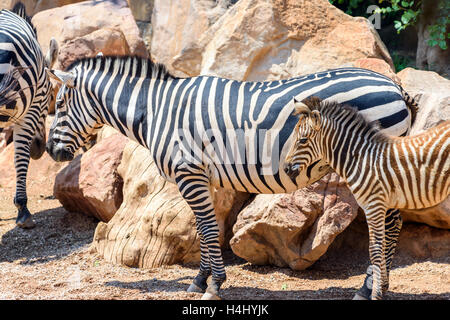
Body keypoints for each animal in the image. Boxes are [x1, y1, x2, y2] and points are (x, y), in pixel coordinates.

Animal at [46, 55, 418, 300]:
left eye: (60, 103)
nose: (50, 150)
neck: (156, 110)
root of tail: (393, 84)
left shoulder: (189, 173)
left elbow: (209, 230)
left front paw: (211, 285)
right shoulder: (203, 178)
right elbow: (205, 229)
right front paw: (202, 279)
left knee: (386, 223)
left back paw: (368, 288)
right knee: (393, 221)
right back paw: (379, 284)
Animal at [284, 96, 450, 298]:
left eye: (302, 140)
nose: (285, 169)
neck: (360, 160)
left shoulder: (374, 206)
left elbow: (375, 250)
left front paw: (375, 294)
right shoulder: (379, 206)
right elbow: (381, 245)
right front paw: (380, 288)